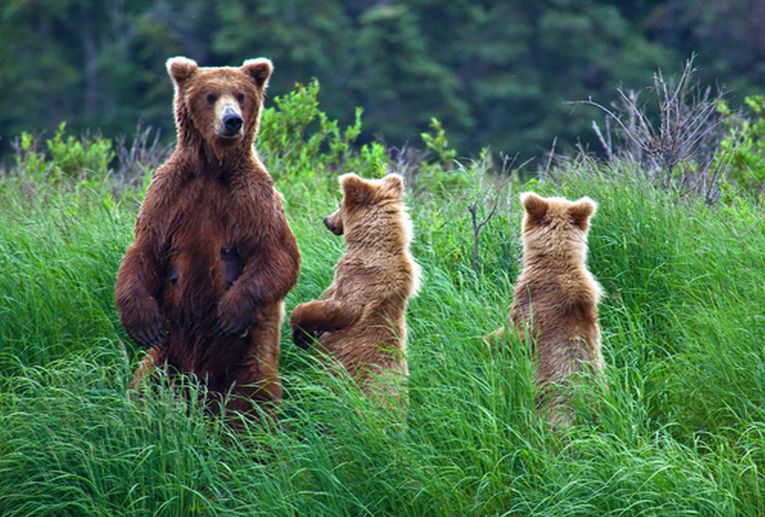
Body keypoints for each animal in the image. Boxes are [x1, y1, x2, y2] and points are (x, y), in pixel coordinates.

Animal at [115, 56, 300, 420]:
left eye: (241, 95)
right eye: (210, 95)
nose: (232, 121)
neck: (213, 168)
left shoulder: (253, 197)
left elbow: (277, 254)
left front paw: (230, 312)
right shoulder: (169, 193)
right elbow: (144, 249)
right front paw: (142, 323)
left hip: (247, 356)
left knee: (254, 395)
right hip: (167, 353)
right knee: (144, 383)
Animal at [290, 173, 420, 400]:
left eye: (340, 205)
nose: (326, 220)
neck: (371, 244)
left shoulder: (360, 279)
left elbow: (339, 309)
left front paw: (301, 333)